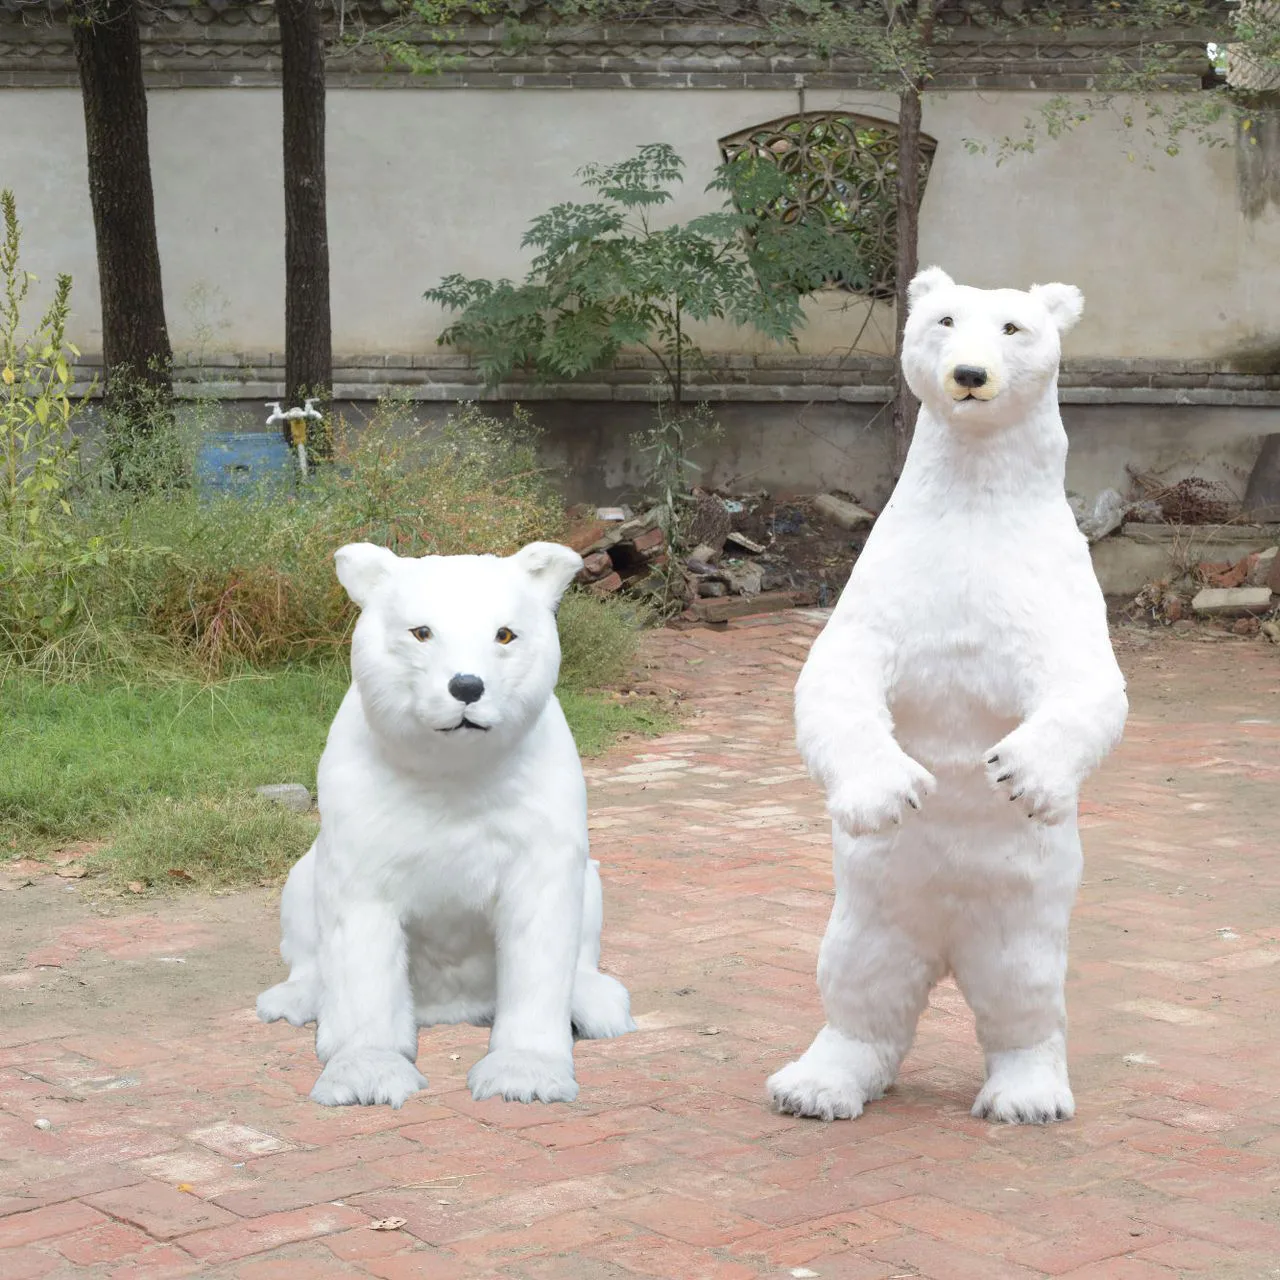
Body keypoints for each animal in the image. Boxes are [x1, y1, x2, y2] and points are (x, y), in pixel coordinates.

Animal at [256, 541, 636, 1108]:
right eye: (421, 632)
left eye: (505, 634)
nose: (466, 686)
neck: (452, 774)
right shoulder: (358, 859)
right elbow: (362, 966)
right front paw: (365, 1074)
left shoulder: (543, 852)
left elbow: (540, 951)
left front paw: (525, 1074)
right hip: (303, 875)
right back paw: (294, 1000)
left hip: (589, 878)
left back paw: (598, 1006)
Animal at [767, 267, 1128, 1125]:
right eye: (944, 319)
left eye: (1013, 327)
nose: (969, 376)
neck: (973, 503)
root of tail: (946, 950)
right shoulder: (889, 585)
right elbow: (835, 674)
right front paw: (892, 790)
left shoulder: (1049, 590)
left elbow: (1089, 683)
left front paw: (1017, 772)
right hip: (875, 898)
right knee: (859, 979)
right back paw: (816, 1084)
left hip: (1023, 902)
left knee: (1024, 989)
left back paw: (1027, 1096)